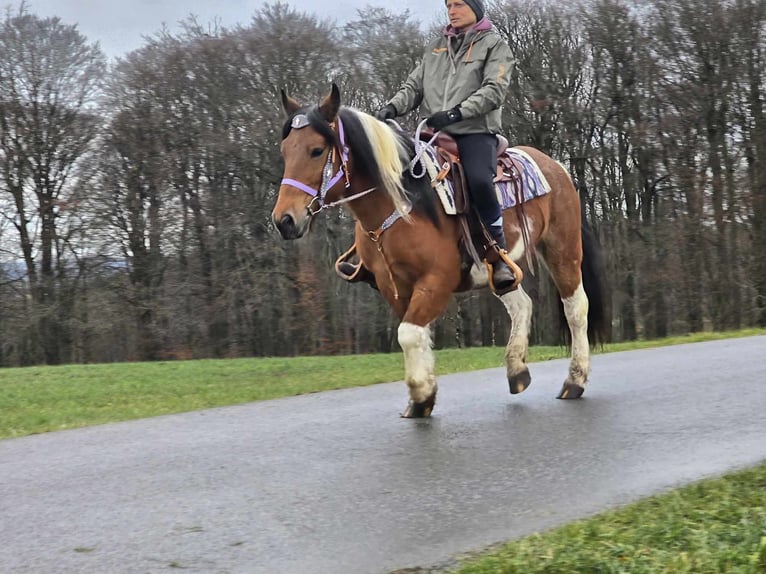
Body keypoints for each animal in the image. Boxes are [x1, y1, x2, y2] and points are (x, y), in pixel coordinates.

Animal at [272, 84, 608, 418]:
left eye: (316, 150)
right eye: (285, 150)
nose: (284, 220)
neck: (404, 204)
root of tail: (557, 167)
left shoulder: (436, 280)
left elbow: (409, 333)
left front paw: (421, 395)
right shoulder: (393, 287)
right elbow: (415, 334)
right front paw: (422, 396)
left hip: (562, 249)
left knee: (576, 308)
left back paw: (574, 380)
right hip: (500, 269)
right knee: (521, 305)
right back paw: (517, 371)